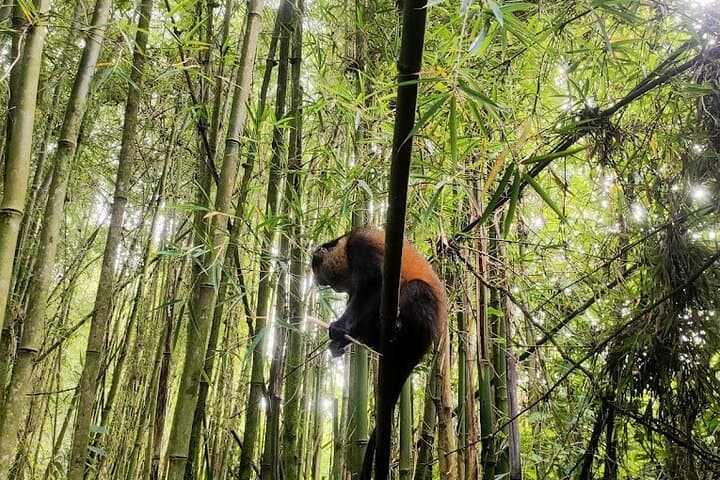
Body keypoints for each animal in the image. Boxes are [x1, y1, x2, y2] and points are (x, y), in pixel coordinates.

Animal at [312, 228, 447, 479]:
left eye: (330, 282)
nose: (335, 289)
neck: (345, 245)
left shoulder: (361, 246)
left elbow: (375, 284)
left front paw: (340, 328)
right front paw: (339, 340)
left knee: (415, 289)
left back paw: (397, 328)